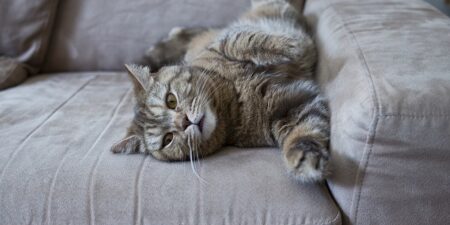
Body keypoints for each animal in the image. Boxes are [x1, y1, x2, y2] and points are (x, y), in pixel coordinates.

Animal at [111, 0, 330, 183]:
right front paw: (304, 161)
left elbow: (241, 41)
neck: (232, 96)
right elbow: (305, 131)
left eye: (171, 100)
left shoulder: (222, 44)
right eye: (168, 139)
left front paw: (287, 46)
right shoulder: (287, 108)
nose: (185, 122)